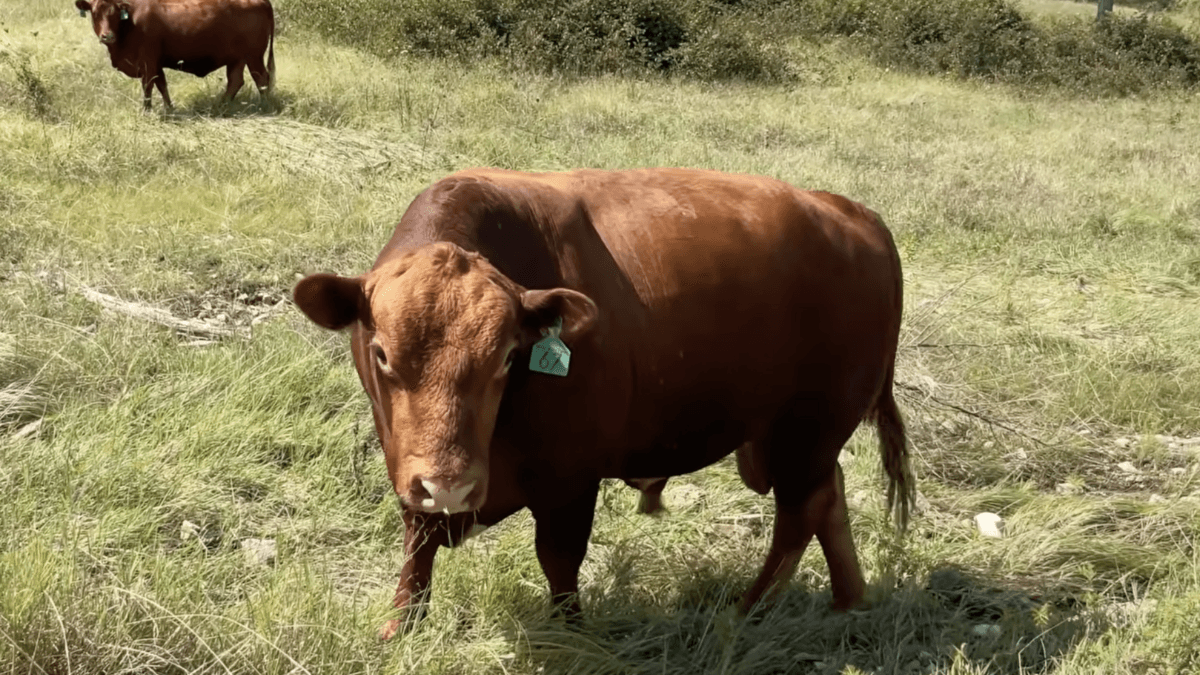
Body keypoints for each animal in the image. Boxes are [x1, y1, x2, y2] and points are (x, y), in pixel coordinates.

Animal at [74, 0, 275, 111]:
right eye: (94, 13)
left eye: (115, 13)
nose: (107, 36)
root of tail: (262, 1)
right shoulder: (156, 63)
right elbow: (162, 85)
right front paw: (170, 108)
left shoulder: (148, 61)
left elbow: (148, 86)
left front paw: (146, 110)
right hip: (237, 58)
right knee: (236, 81)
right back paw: (221, 106)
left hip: (254, 56)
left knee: (262, 79)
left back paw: (264, 106)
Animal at [292, 167, 913, 639]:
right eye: (381, 353)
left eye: (508, 357)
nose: (451, 486)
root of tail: (850, 213)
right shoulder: (407, 462)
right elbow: (417, 544)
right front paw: (402, 626)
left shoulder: (571, 477)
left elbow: (558, 557)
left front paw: (569, 632)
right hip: (791, 435)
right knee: (828, 499)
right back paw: (848, 600)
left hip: (809, 427)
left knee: (800, 513)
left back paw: (747, 611)